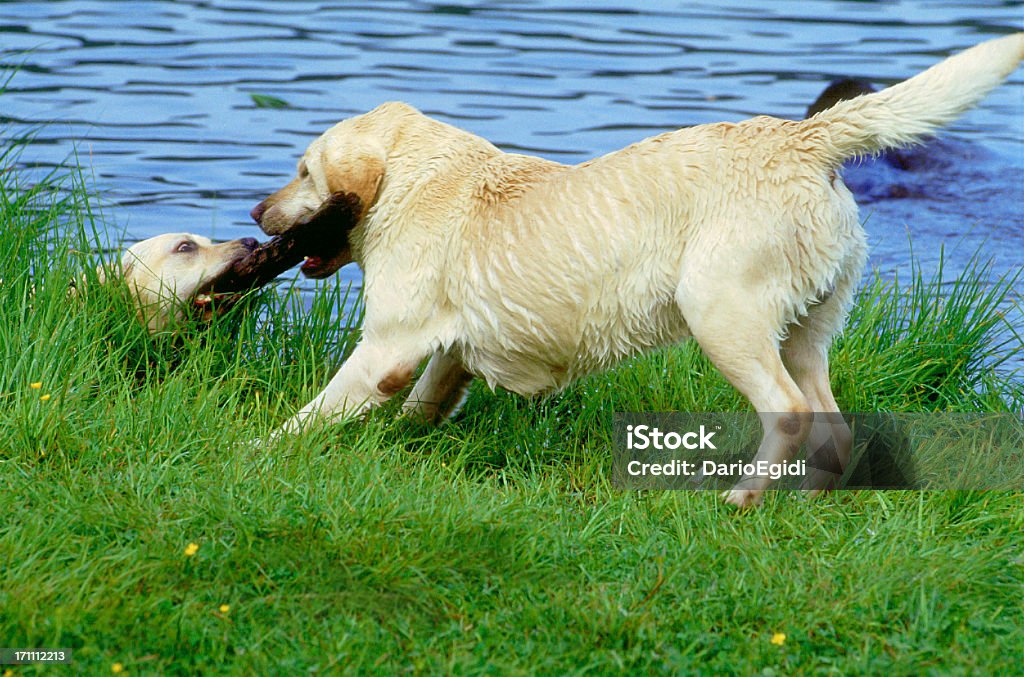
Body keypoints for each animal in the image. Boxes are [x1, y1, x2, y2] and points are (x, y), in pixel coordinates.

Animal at [249, 34, 1024, 503]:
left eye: (303, 171)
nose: (257, 211)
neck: (419, 176)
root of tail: (803, 138)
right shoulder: (448, 355)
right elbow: (424, 405)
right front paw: (401, 441)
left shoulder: (387, 347)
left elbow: (312, 414)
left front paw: (257, 446)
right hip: (807, 329)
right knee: (832, 425)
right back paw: (804, 500)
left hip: (722, 313)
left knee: (793, 413)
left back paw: (743, 498)